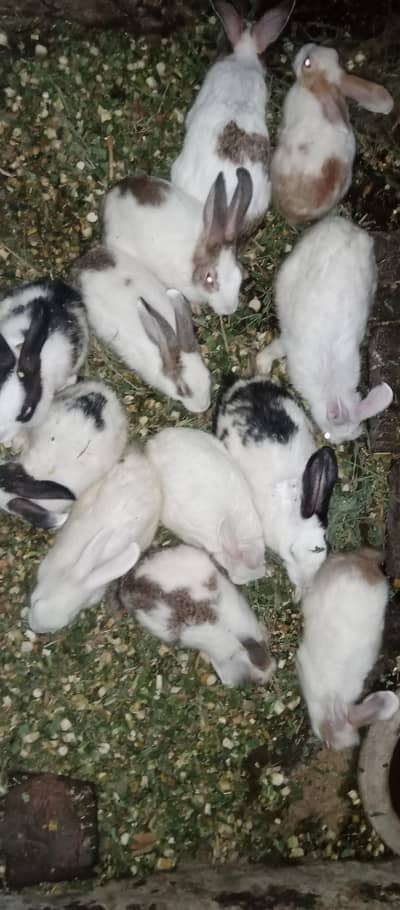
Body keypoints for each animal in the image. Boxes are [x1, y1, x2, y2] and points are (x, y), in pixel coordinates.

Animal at [256, 216, 393, 444]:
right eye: (328, 434)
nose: (331, 442)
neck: (330, 388)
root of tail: (344, 227)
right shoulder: (288, 344)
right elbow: (273, 350)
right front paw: (262, 365)